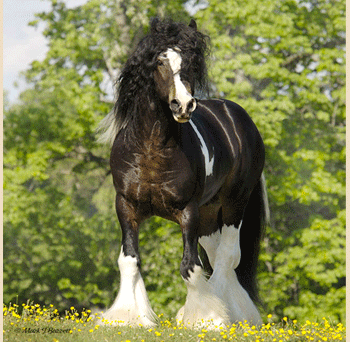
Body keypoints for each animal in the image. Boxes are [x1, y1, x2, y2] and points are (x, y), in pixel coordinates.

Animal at [98, 18, 268, 328]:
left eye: (190, 63)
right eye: (159, 62)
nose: (184, 105)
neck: (152, 148)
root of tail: (239, 117)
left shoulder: (188, 211)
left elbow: (190, 266)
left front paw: (204, 317)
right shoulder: (126, 207)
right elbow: (129, 260)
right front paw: (128, 317)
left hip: (234, 205)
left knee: (227, 257)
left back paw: (228, 315)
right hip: (210, 216)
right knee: (218, 256)